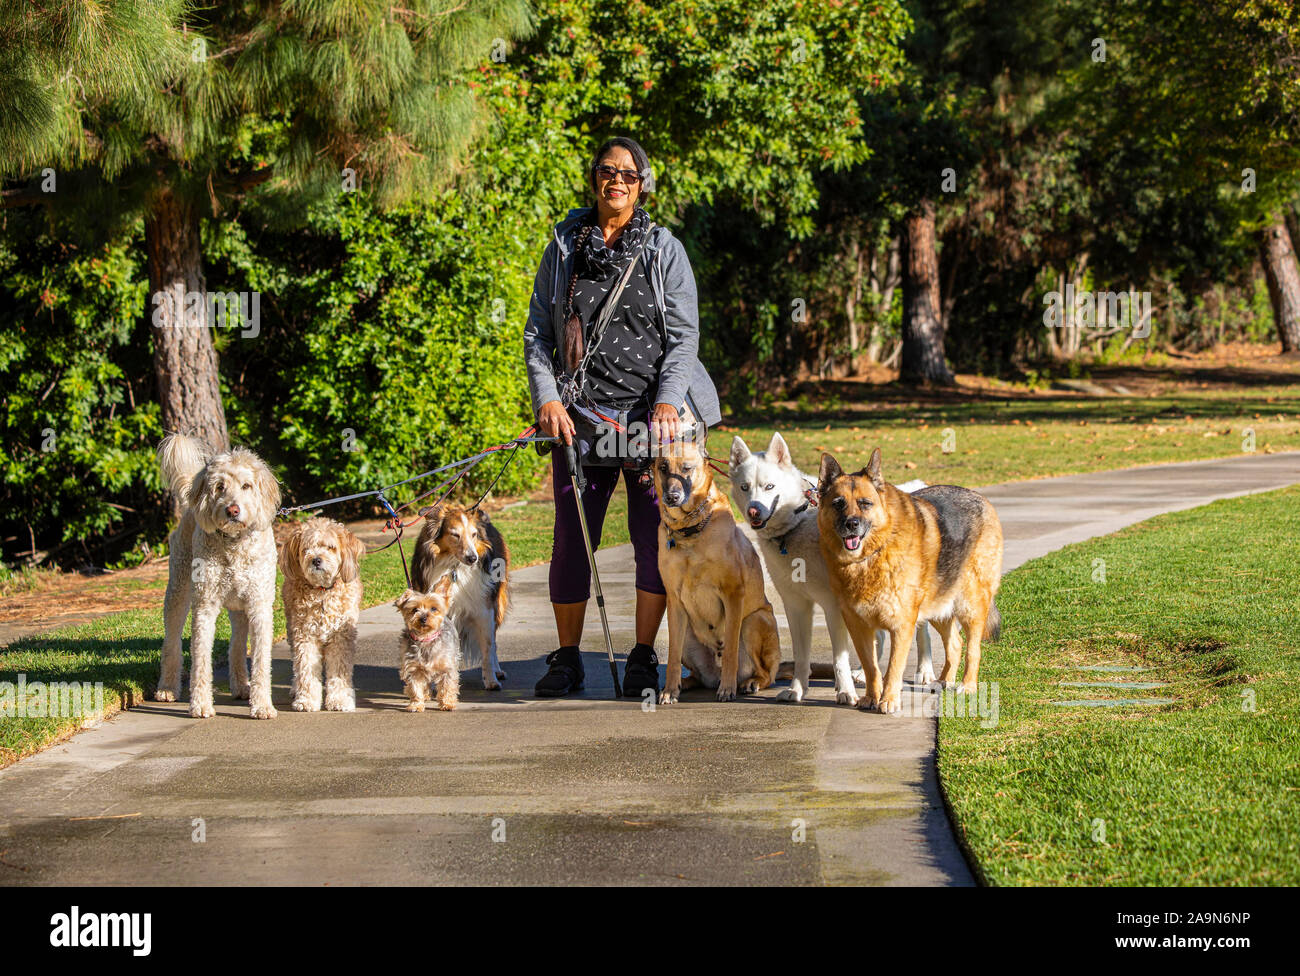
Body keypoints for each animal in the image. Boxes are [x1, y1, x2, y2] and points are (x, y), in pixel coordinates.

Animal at [655, 415, 774, 706]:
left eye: (687, 468)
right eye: (663, 467)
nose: (672, 497)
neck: (690, 531)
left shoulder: (733, 594)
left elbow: (730, 649)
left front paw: (728, 689)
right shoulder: (674, 600)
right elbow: (671, 657)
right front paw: (669, 690)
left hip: (754, 621)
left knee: (766, 673)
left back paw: (748, 683)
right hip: (687, 634)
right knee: (694, 671)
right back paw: (686, 683)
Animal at [816, 447, 998, 712]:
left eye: (865, 504)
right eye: (838, 504)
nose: (851, 524)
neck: (873, 555)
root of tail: (980, 497)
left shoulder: (901, 624)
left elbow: (893, 667)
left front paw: (889, 700)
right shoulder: (858, 625)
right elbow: (871, 667)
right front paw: (871, 697)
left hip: (970, 606)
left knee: (973, 648)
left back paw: (968, 685)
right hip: (938, 608)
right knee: (955, 643)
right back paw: (944, 681)